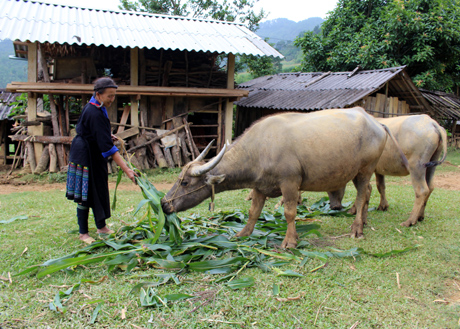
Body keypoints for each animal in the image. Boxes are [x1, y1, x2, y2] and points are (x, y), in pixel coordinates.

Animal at [162, 107, 406, 246]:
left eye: (185, 182)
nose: (164, 204)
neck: (260, 148)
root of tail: (376, 122)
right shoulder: (259, 187)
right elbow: (253, 212)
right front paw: (243, 234)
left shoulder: (290, 183)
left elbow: (290, 213)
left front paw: (289, 241)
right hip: (356, 172)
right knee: (367, 193)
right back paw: (363, 221)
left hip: (366, 169)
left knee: (362, 195)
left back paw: (357, 228)